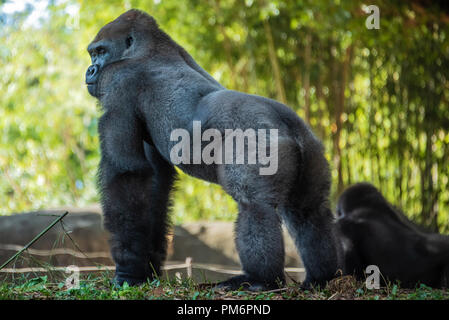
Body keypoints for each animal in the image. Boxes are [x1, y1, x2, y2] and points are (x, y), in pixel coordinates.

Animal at [85, 9, 340, 290]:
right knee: (309, 211)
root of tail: (289, 124)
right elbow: (156, 182)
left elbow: (127, 172)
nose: (90, 70)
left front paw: (128, 272)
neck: (149, 49)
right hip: (313, 149)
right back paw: (321, 277)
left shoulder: (118, 84)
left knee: (255, 206)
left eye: (100, 51)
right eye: (93, 54)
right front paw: (148, 268)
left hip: (261, 144)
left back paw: (260, 279)